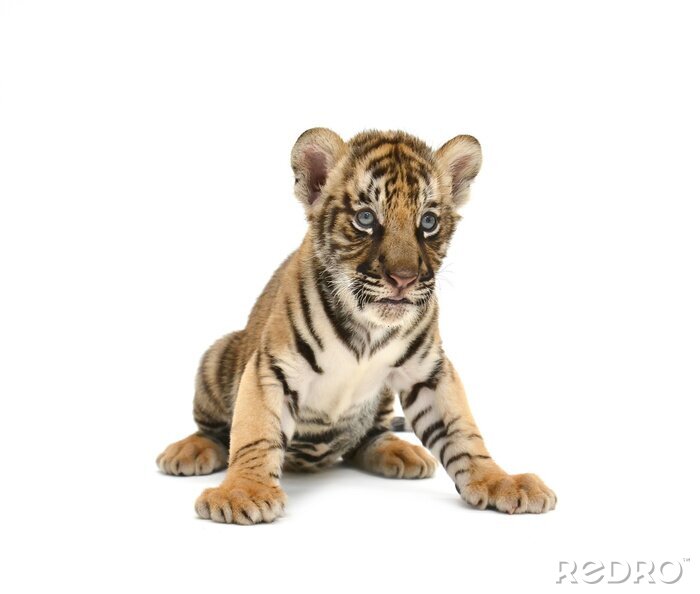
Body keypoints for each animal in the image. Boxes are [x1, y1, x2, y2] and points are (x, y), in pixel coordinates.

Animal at [156, 128, 557, 524]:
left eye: (428, 222)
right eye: (365, 218)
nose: (404, 279)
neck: (369, 329)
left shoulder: (428, 372)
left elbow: (463, 432)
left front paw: (501, 481)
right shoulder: (272, 367)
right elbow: (255, 431)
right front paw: (243, 492)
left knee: (368, 437)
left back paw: (399, 452)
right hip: (218, 354)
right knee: (214, 431)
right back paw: (189, 451)